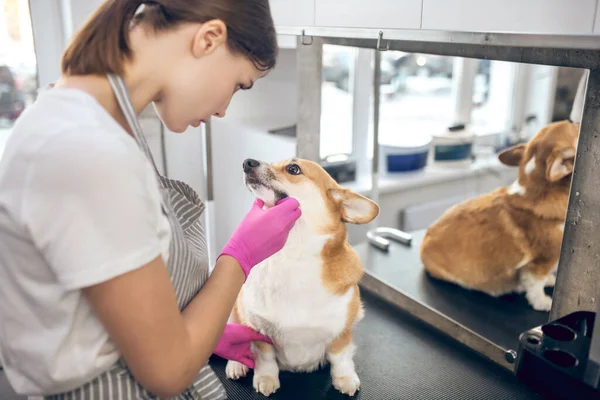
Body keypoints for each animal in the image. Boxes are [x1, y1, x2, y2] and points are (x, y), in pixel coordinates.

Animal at [225, 158, 380, 396]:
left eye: (293, 169)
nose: (247, 162)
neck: (292, 255)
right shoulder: (259, 332)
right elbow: (265, 358)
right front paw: (266, 379)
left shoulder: (341, 333)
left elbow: (341, 358)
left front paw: (345, 379)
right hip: (235, 307)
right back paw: (236, 364)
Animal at [420, 119, 580, 312]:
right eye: (572, 124)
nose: (577, 120)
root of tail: (423, 244)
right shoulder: (542, 261)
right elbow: (535, 285)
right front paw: (542, 302)